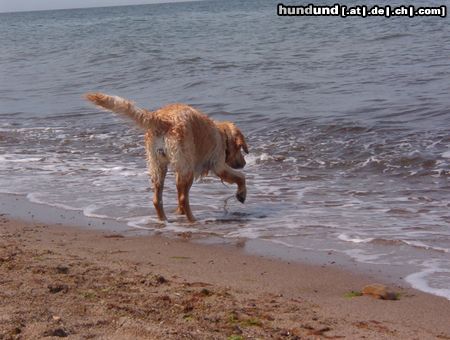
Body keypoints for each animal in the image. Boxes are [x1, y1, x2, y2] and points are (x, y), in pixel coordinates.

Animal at [83, 93, 246, 222]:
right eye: (240, 149)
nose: (244, 163)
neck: (221, 134)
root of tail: (163, 120)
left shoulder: (180, 170)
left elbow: (179, 191)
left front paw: (179, 212)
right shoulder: (218, 165)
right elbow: (240, 177)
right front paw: (241, 194)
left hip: (158, 166)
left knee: (157, 199)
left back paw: (164, 220)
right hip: (186, 168)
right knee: (183, 198)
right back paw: (192, 220)